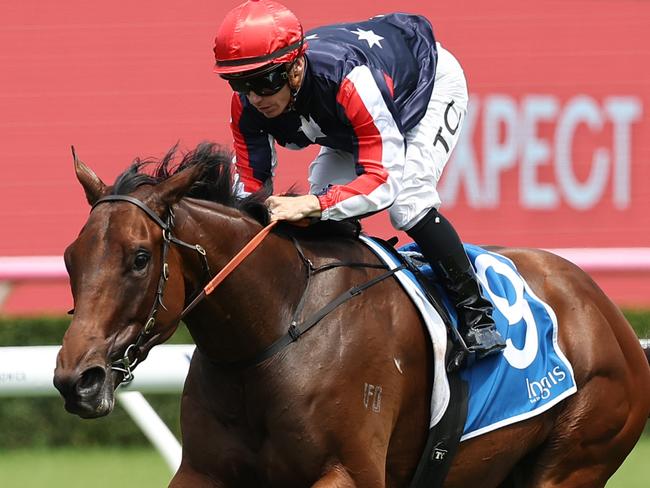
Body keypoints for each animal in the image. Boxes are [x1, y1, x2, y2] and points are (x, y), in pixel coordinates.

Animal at [54, 143, 648, 486]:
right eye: (69, 258)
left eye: (139, 258)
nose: (76, 380)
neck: (272, 330)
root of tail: (610, 315)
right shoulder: (203, 472)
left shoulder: (348, 472)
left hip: (576, 456)